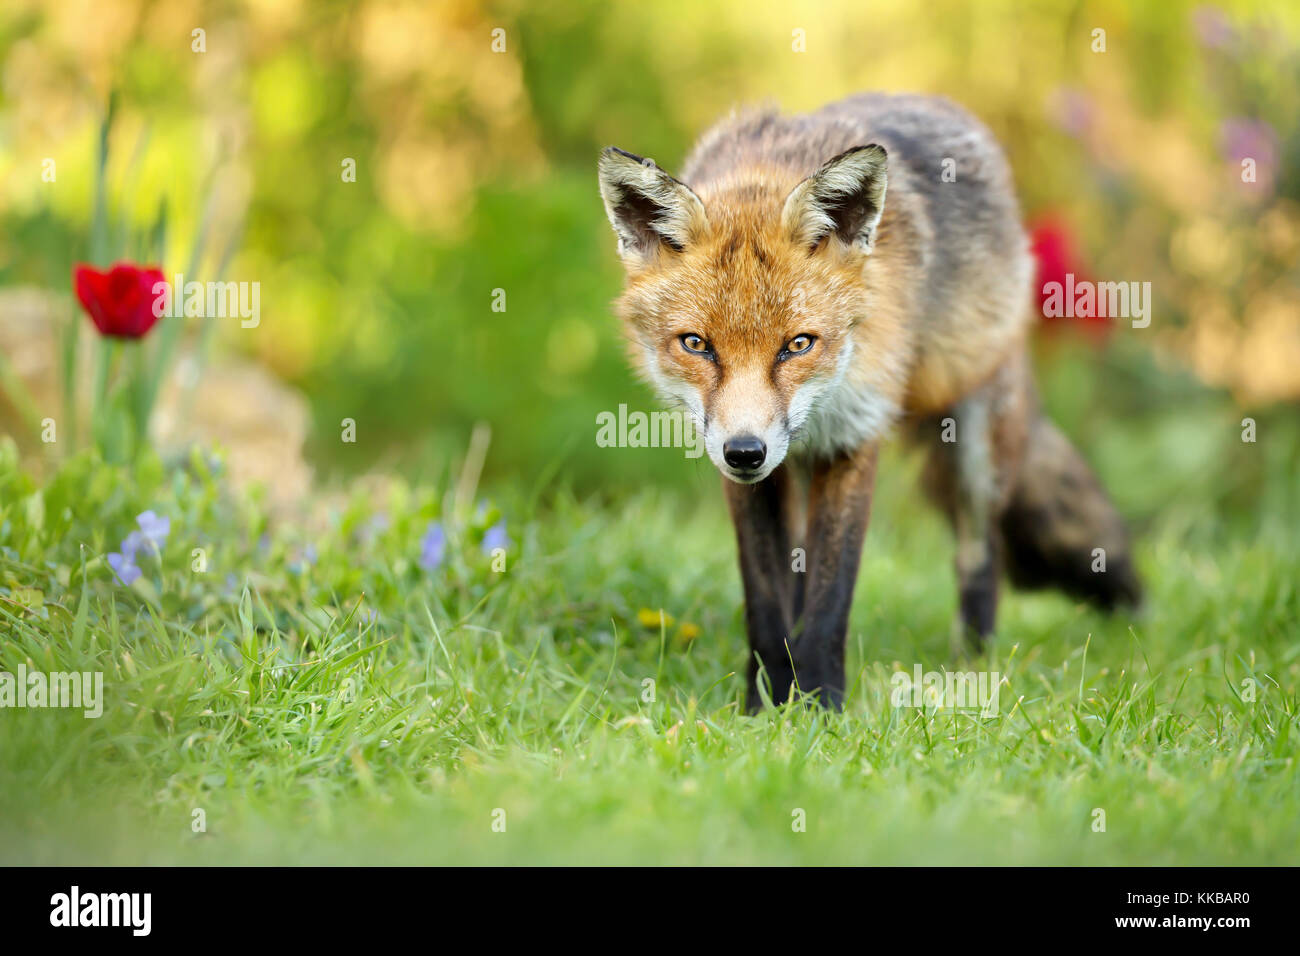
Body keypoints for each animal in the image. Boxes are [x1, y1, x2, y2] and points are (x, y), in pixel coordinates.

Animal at [598, 93, 1138, 712]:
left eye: (798, 344)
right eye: (696, 345)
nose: (746, 452)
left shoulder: (854, 438)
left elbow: (832, 598)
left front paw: (823, 706)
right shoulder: (747, 479)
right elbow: (766, 603)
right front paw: (765, 706)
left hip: (976, 446)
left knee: (982, 554)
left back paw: (973, 666)